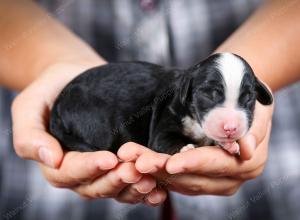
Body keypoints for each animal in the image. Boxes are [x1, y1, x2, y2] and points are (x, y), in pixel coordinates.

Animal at [49, 52, 274, 155]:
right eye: (210, 94)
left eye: (248, 98)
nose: (231, 128)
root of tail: (58, 103)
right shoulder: (162, 125)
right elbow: (164, 140)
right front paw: (185, 147)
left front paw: (228, 144)